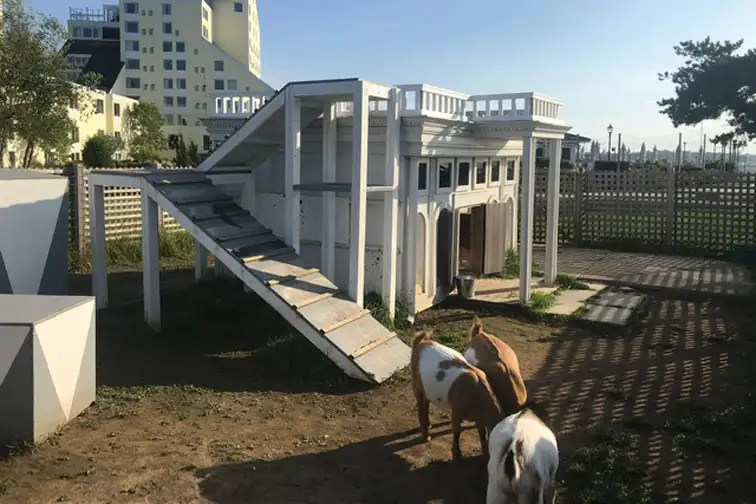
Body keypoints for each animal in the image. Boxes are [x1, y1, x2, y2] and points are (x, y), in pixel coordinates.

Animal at [410, 330, 504, 460]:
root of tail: (421, 342)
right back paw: (426, 436)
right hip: (418, 385)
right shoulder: (456, 411)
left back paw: (429, 426)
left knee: (426, 404)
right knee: (421, 407)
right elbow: (457, 431)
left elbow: (482, 433)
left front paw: (485, 452)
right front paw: (457, 455)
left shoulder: (479, 418)